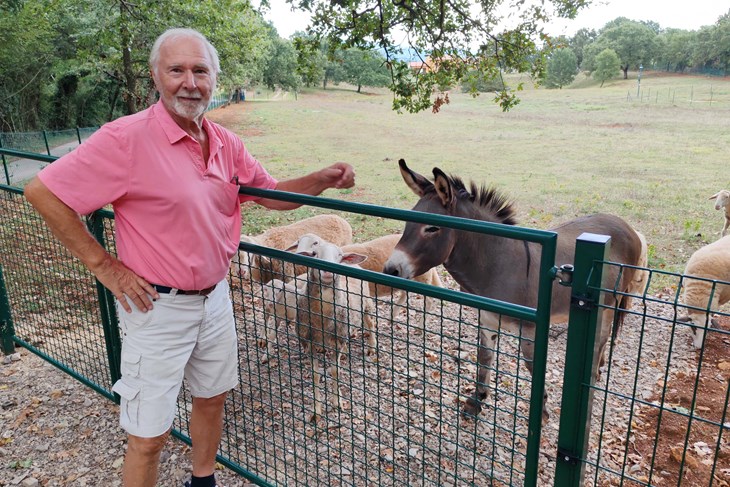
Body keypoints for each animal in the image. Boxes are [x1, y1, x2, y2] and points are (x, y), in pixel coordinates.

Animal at [286, 232, 444, 324]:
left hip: (423, 277)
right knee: (404, 295)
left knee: (429, 301)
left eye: (315, 243)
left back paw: (420, 326)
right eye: (298, 243)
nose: (299, 255)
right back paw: (392, 317)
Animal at [294, 242, 376, 422]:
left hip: (366, 304)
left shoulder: (337, 341)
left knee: (370, 323)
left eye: (339, 255)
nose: (327, 272)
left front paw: (337, 402)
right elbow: (315, 374)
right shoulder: (307, 343)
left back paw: (371, 347)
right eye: (314, 253)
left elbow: (335, 371)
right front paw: (316, 411)